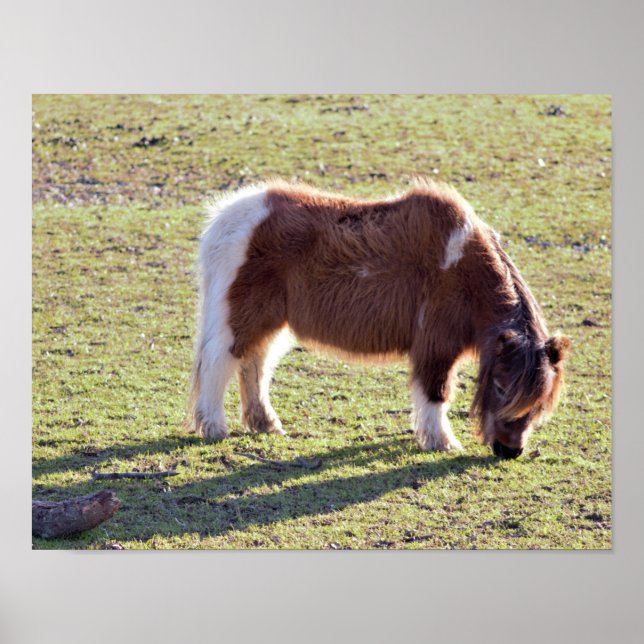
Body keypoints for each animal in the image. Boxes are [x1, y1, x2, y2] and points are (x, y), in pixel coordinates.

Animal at [188, 179, 570, 459]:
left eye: (541, 399)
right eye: (502, 387)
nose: (509, 451)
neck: (462, 268)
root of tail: (224, 221)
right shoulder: (435, 347)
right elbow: (436, 392)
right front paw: (441, 441)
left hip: (269, 325)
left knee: (255, 364)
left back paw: (265, 423)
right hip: (241, 320)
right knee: (218, 364)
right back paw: (214, 427)